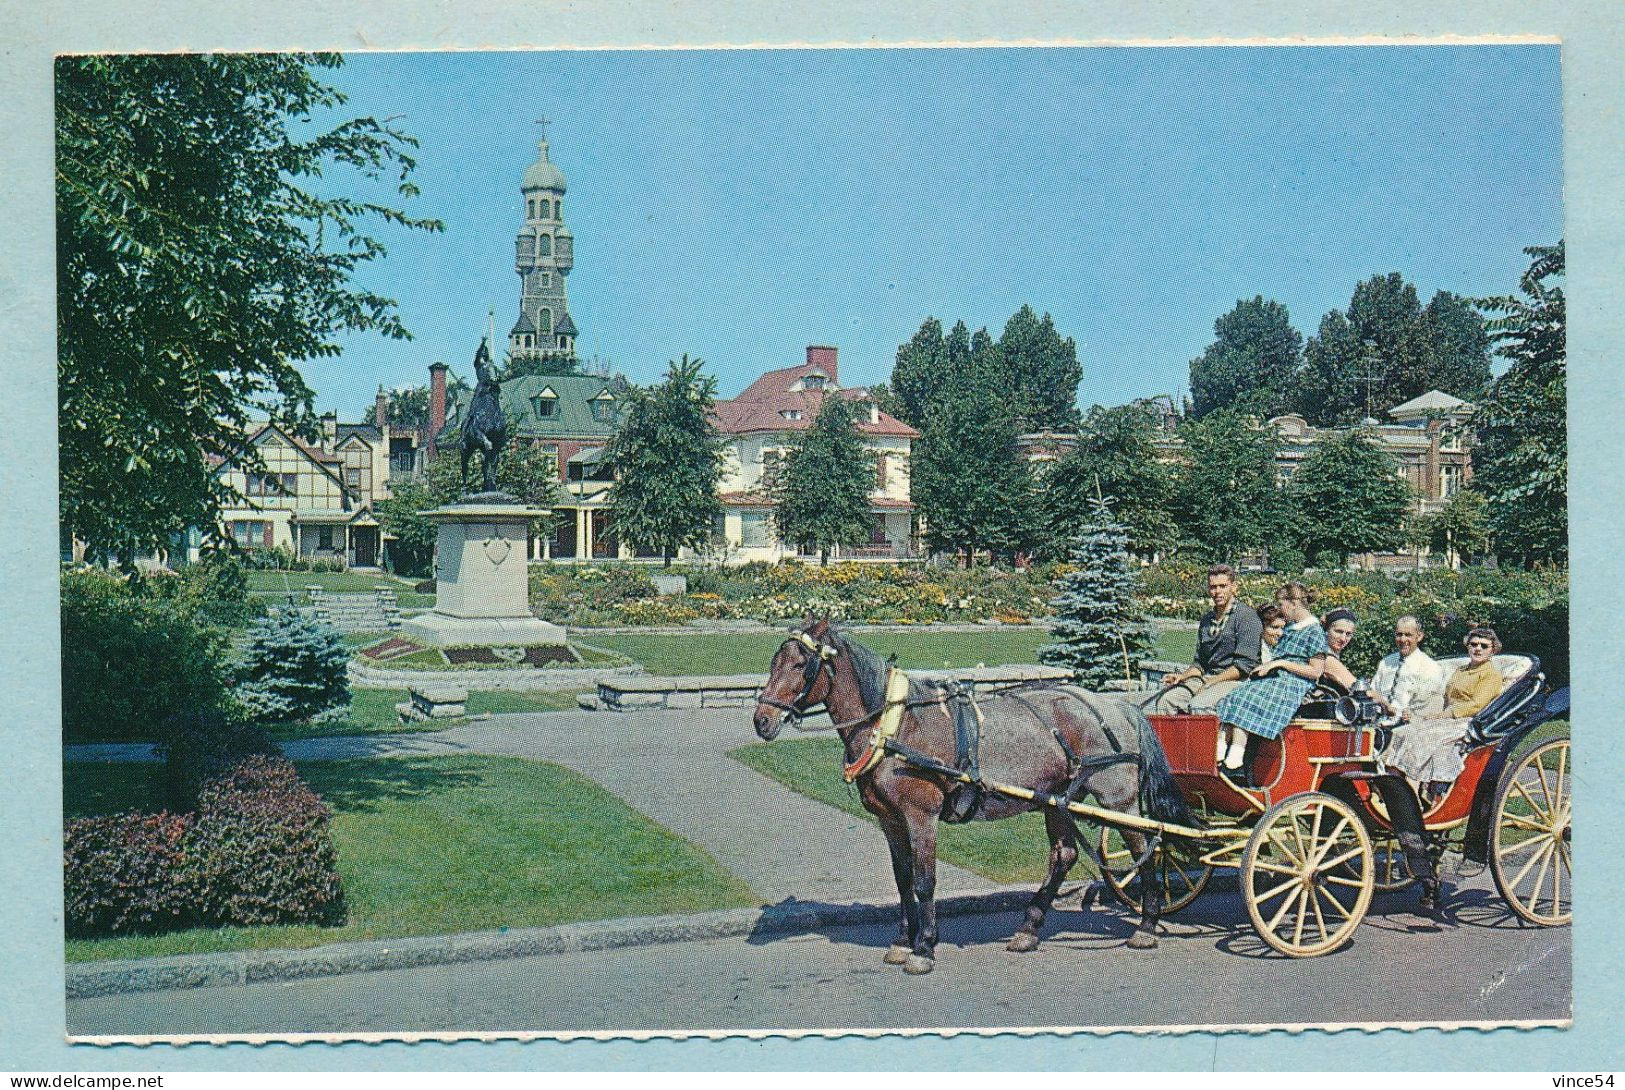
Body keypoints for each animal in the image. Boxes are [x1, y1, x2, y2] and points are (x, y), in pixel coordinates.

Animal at [458, 339, 507, 497]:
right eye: (484, 368)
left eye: (496, 368)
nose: (494, 379)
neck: (490, 412)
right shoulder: (478, 434)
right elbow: (486, 443)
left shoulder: (498, 443)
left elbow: (492, 464)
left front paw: (492, 486)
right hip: (465, 450)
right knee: (465, 469)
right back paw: (464, 490)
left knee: (486, 465)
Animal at [750, 617, 1196, 974]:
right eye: (774, 663)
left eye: (799, 664)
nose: (762, 720)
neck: (897, 727)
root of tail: (1119, 706)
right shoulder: (890, 820)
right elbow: (903, 879)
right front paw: (902, 941)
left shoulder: (920, 816)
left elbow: (925, 881)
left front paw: (924, 947)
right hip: (1058, 800)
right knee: (1064, 856)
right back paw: (1029, 928)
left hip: (1118, 799)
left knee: (1148, 846)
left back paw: (1147, 925)